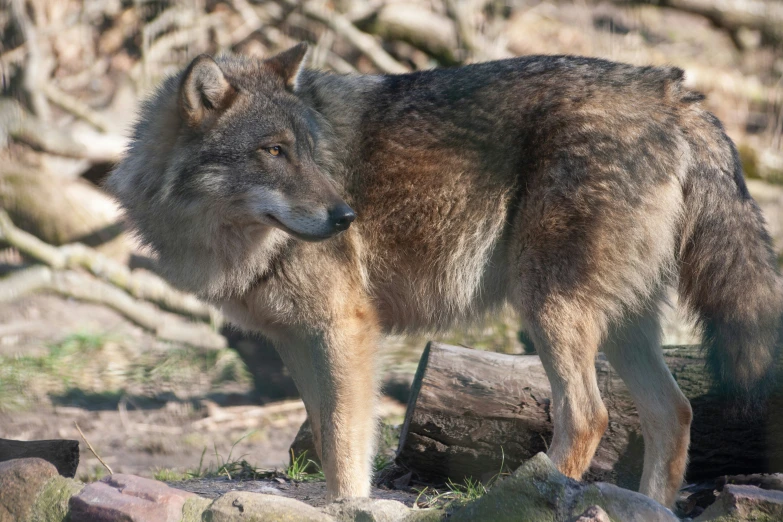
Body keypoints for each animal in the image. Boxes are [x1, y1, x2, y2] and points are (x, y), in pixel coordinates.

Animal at [108, 42, 783, 506]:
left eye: (308, 152)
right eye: (273, 151)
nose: (345, 216)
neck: (231, 243)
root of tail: (669, 89)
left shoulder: (346, 329)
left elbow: (347, 445)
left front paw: (348, 506)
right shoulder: (297, 341)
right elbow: (329, 438)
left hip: (548, 309)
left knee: (590, 417)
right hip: (618, 324)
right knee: (675, 413)